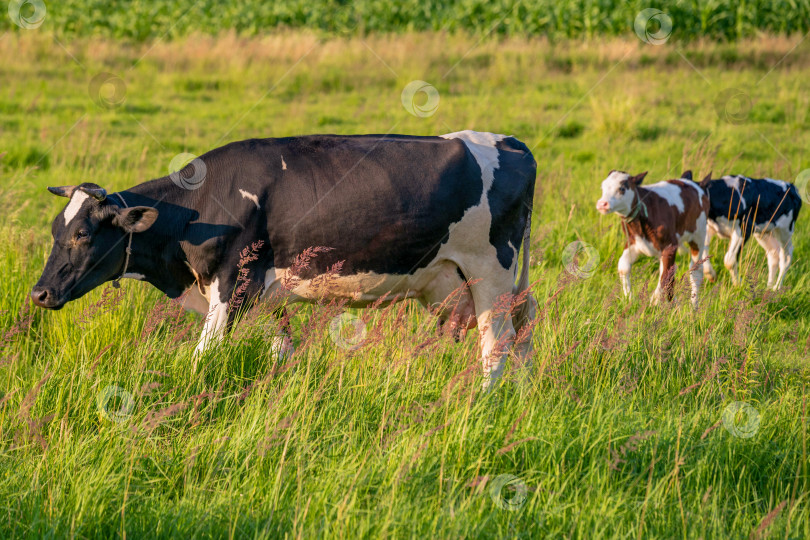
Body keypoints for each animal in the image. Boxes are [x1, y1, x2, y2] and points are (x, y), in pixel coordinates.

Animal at [31, 133, 536, 390]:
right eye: (54, 231)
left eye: (82, 234)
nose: (40, 293)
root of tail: (507, 141)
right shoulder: (270, 298)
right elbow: (281, 353)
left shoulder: (232, 286)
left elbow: (201, 358)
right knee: (524, 330)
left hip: (490, 273)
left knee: (497, 345)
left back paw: (485, 401)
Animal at [592, 172, 708, 308]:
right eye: (603, 187)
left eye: (622, 188)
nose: (602, 204)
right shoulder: (634, 242)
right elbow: (623, 266)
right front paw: (629, 299)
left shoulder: (670, 244)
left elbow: (666, 274)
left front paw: (654, 302)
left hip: (699, 234)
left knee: (695, 271)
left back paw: (693, 306)